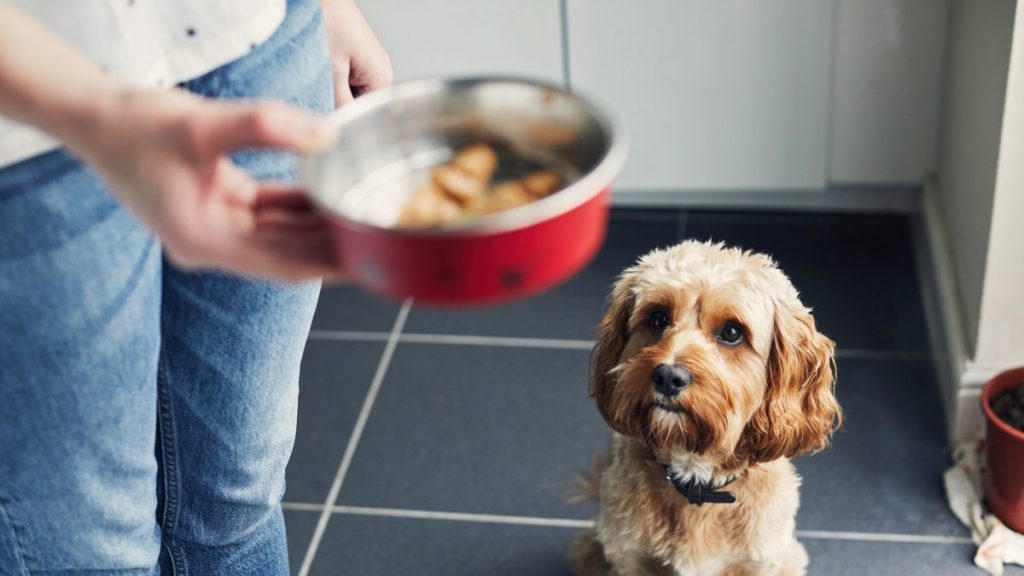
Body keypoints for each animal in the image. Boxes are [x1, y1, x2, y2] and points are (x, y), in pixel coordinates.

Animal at [569, 238, 839, 573]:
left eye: (732, 332)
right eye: (657, 318)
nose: (668, 377)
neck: (696, 479)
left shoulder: (761, 561)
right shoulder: (629, 557)